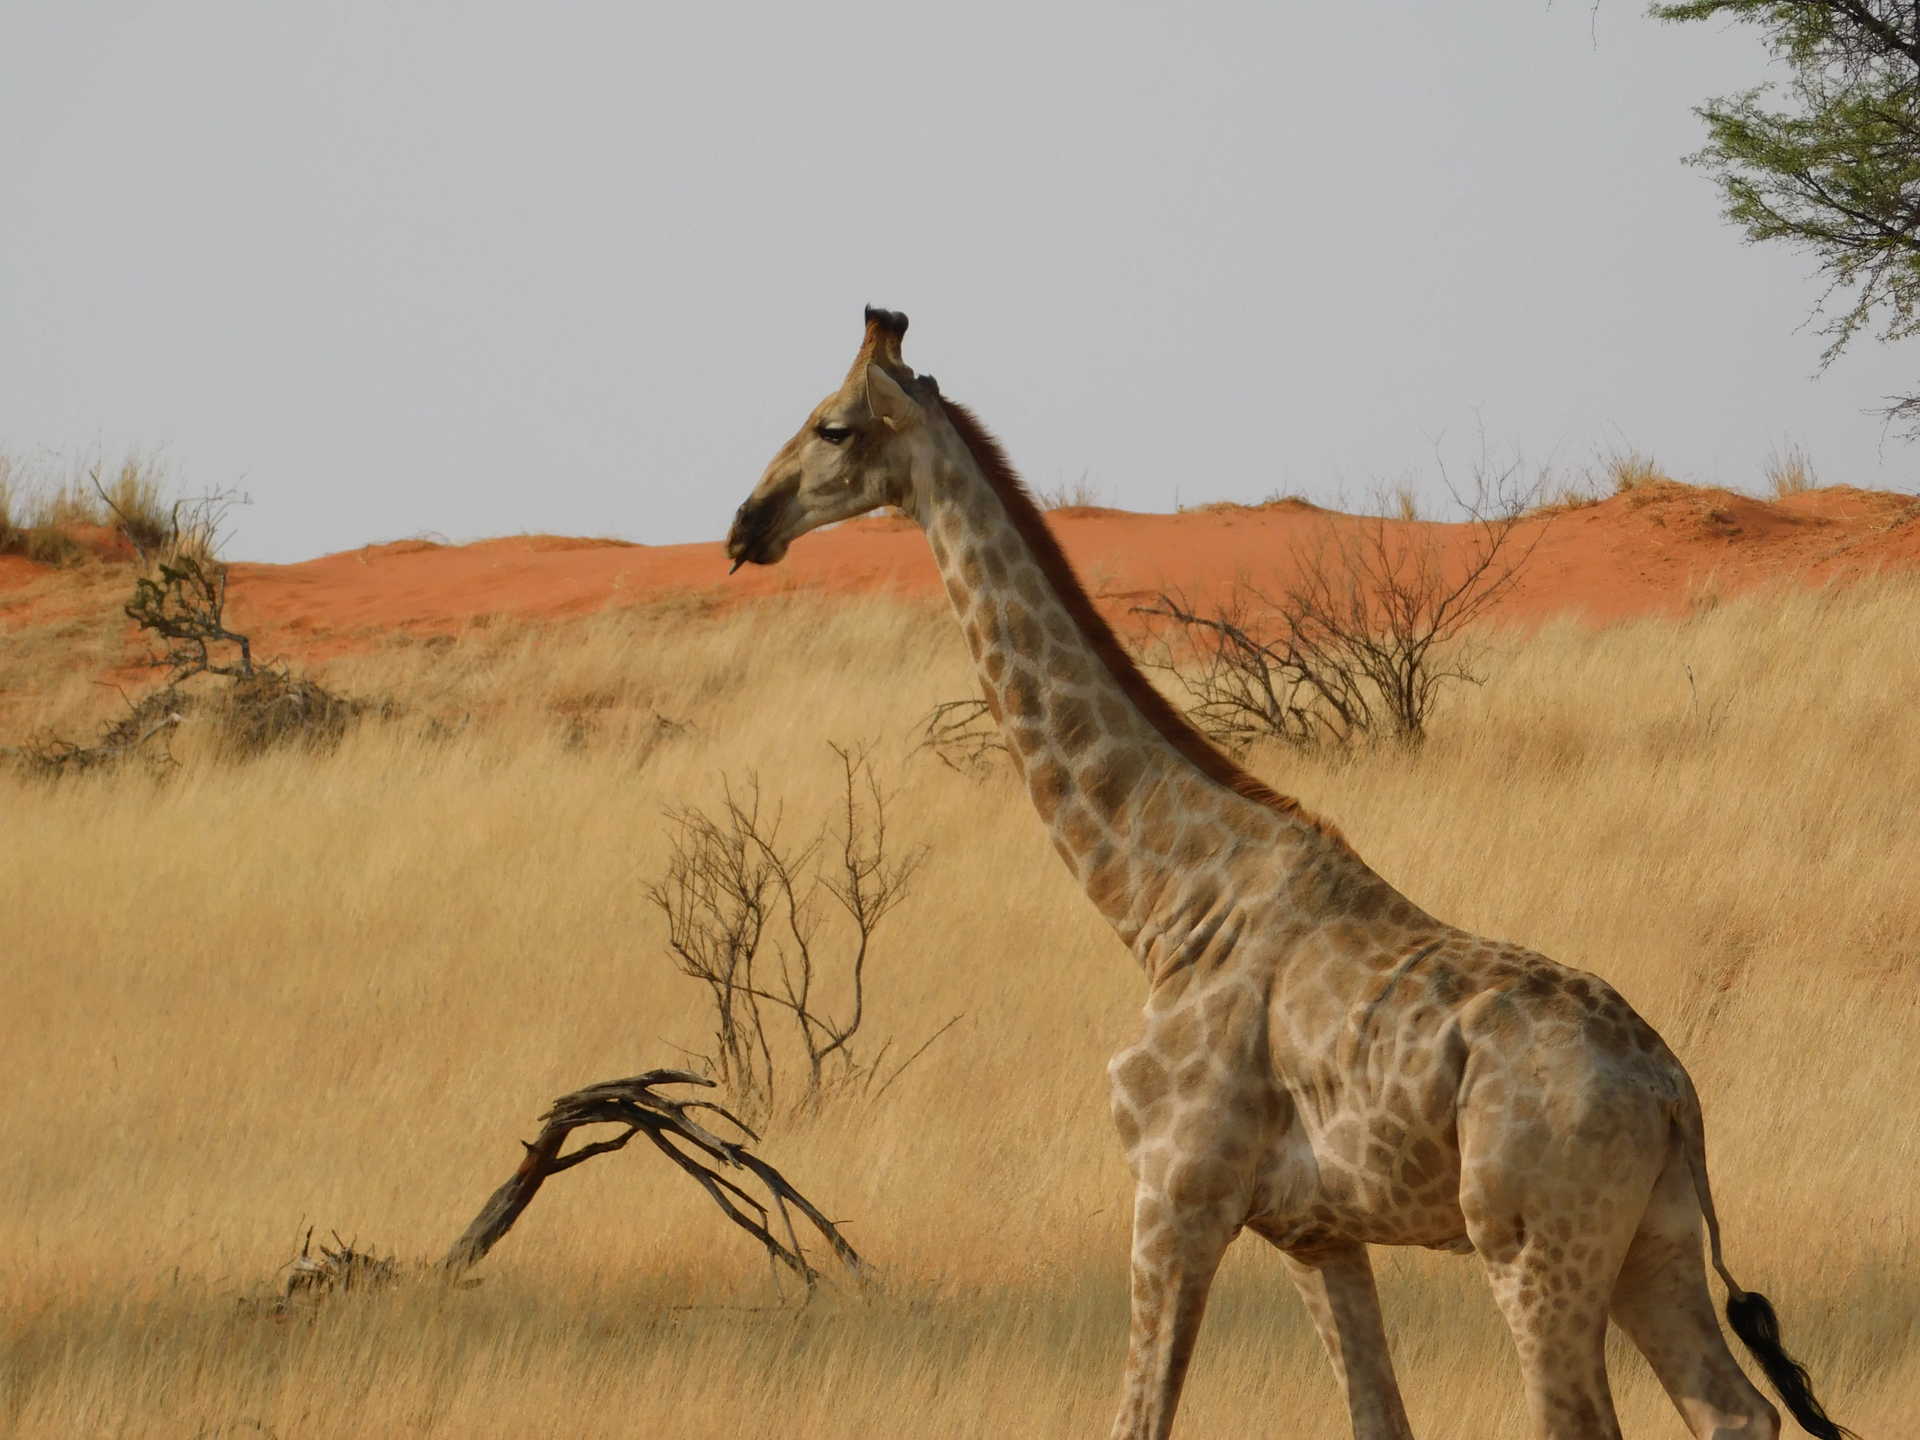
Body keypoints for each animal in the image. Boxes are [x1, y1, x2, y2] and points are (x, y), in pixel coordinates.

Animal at [724, 307, 1852, 1440]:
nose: (744, 528)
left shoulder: (1175, 1196)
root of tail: (1673, 1094)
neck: (1165, 904)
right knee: (1738, 1412)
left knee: (1583, 1418)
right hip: (1650, 1244)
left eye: (831, 427)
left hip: (1534, 1242)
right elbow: (1376, 1418)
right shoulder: (1315, 1230)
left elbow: (1140, 1420)